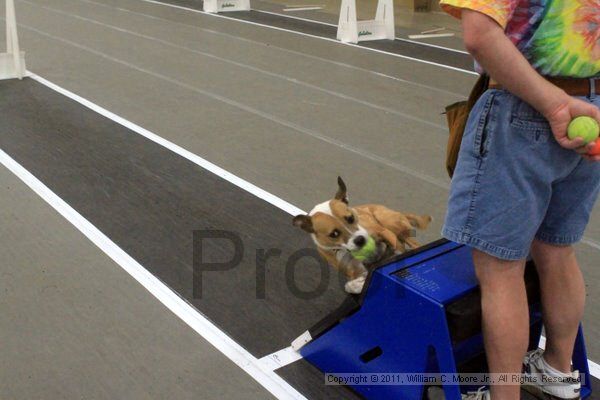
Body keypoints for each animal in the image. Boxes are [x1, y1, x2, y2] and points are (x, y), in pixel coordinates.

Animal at [292, 178, 428, 294]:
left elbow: (398, 249)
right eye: (334, 234)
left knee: (412, 243)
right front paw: (357, 285)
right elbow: (357, 281)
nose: (360, 240)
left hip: (390, 222)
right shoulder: (354, 270)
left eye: (350, 218)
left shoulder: (384, 232)